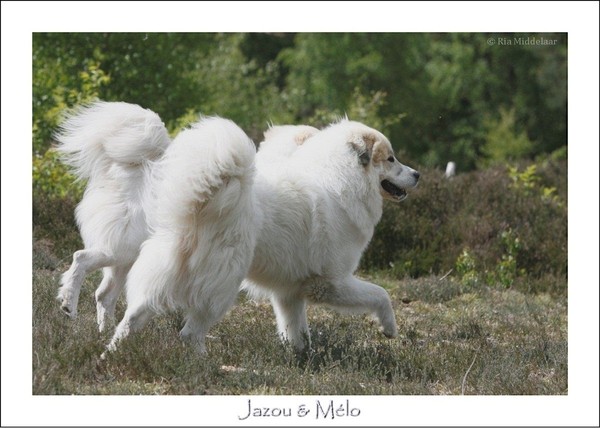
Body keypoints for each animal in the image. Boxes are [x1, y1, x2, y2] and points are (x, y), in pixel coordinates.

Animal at [57, 102, 418, 352]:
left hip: (146, 263)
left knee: (122, 307)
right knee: (183, 329)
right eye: (391, 159)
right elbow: (380, 294)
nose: (417, 174)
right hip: (205, 279)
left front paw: (300, 359)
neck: (338, 180)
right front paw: (389, 329)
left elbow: (296, 331)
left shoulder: (289, 292)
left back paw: (108, 348)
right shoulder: (331, 282)